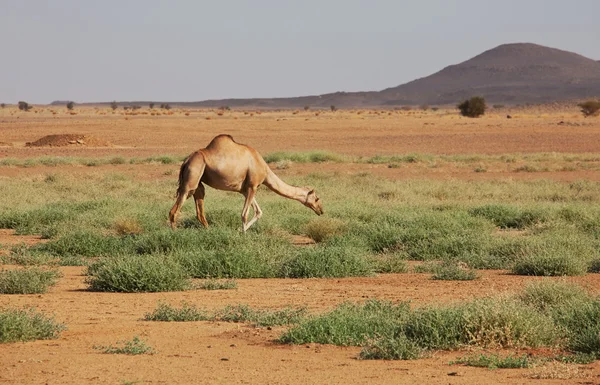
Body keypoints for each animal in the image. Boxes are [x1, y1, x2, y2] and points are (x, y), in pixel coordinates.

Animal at [166, 134, 326, 231]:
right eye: (317, 199)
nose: (321, 210)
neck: (264, 170)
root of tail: (186, 160)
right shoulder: (253, 186)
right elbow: (244, 214)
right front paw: (242, 235)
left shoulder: (246, 189)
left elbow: (258, 212)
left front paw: (239, 230)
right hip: (193, 175)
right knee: (175, 209)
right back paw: (175, 233)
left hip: (199, 181)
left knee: (199, 205)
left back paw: (208, 230)